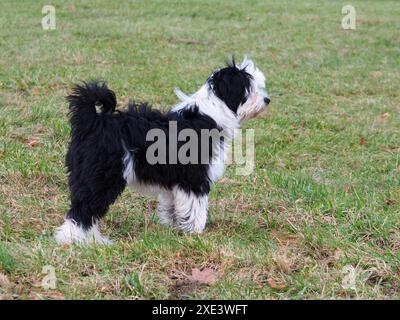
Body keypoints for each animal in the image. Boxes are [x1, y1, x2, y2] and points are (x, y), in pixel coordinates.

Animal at [54, 57, 270, 244]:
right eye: (250, 89)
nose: (267, 100)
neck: (211, 113)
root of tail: (93, 121)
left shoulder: (173, 182)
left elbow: (173, 207)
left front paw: (174, 228)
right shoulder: (194, 178)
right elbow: (195, 209)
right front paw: (196, 233)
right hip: (102, 178)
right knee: (83, 209)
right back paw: (78, 241)